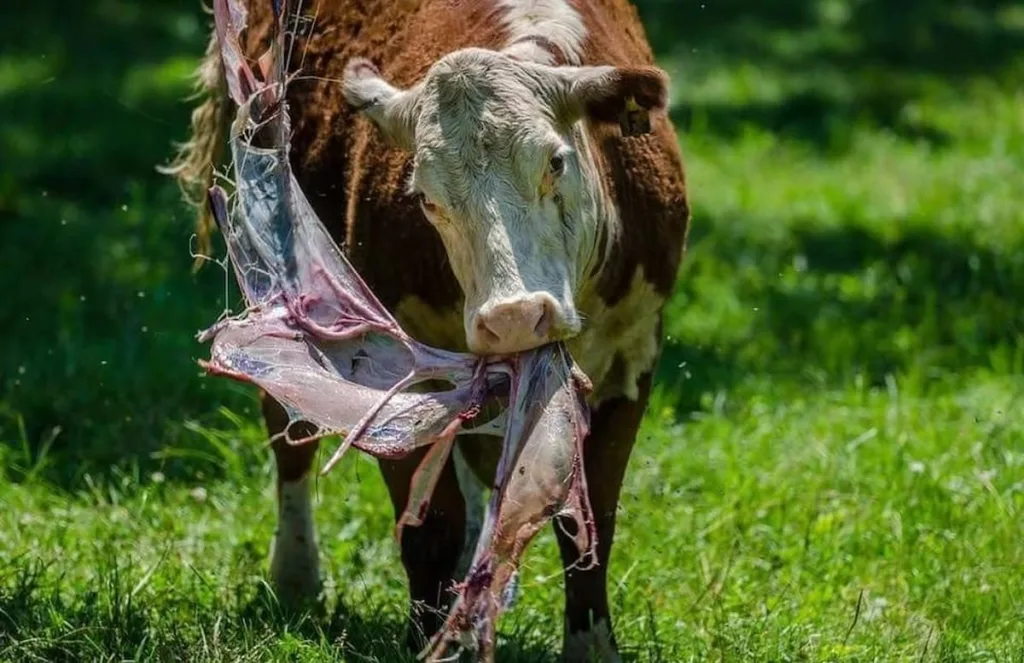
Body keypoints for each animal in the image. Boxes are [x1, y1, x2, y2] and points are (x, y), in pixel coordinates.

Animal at [167, 1, 692, 659]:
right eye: (424, 196)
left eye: (555, 161)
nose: (514, 315)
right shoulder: (395, 372)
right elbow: (427, 527)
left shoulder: (634, 352)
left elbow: (587, 520)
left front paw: (590, 644)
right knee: (289, 435)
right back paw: (296, 575)